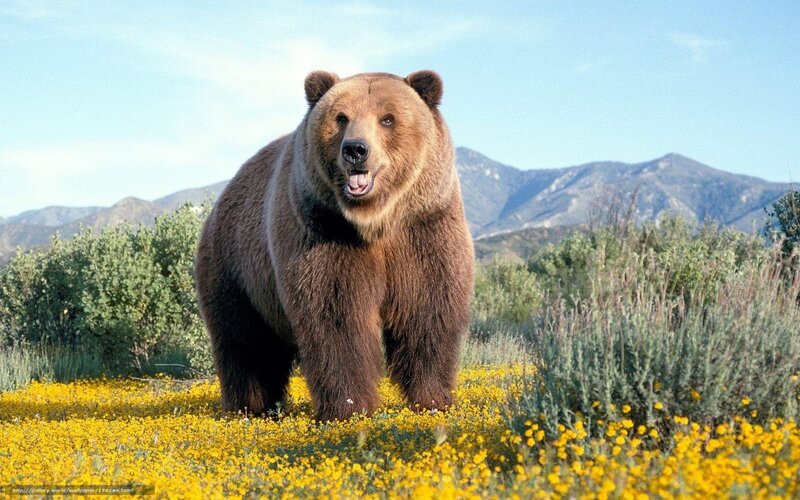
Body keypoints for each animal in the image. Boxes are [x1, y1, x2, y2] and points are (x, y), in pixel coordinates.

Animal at [195, 70, 474, 422]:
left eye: (388, 118)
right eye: (341, 117)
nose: (355, 149)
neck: (375, 221)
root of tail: (222, 198)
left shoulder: (424, 228)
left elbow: (427, 309)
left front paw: (433, 399)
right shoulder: (323, 231)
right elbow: (336, 316)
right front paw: (348, 407)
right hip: (236, 267)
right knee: (246, 341)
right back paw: (251, 407)